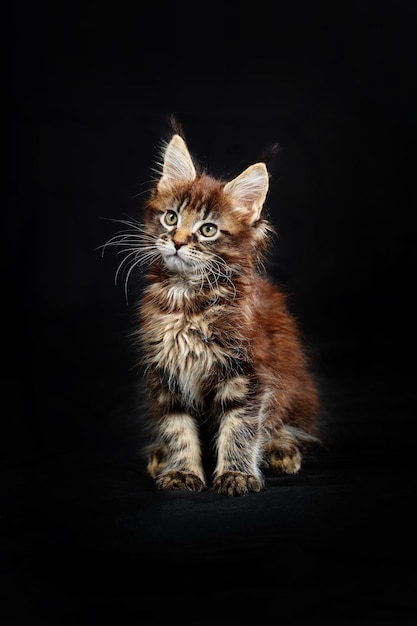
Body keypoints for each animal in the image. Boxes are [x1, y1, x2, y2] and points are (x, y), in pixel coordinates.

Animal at [105, 129, 316, 494]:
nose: (177, 241)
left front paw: (236, 474)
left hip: (295, 391)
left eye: (207, 230)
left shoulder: (247, 373)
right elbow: (177, 428)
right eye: (171, 217)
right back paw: (160, 455)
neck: (187, 300)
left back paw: (280, 450)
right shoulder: (166, 373)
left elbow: (240, 428)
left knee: (287, 427)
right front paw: (181, 471)